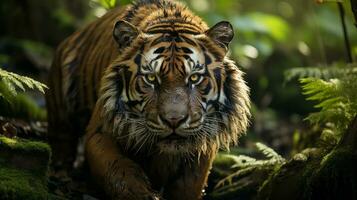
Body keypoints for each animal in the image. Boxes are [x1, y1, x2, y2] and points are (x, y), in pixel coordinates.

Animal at [45, 0, 250, 198]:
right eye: (151, 78)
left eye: (194, 78)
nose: (173, 120)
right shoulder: (101, 131)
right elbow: (117, 171)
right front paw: (142, 194)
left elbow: (189, 185)